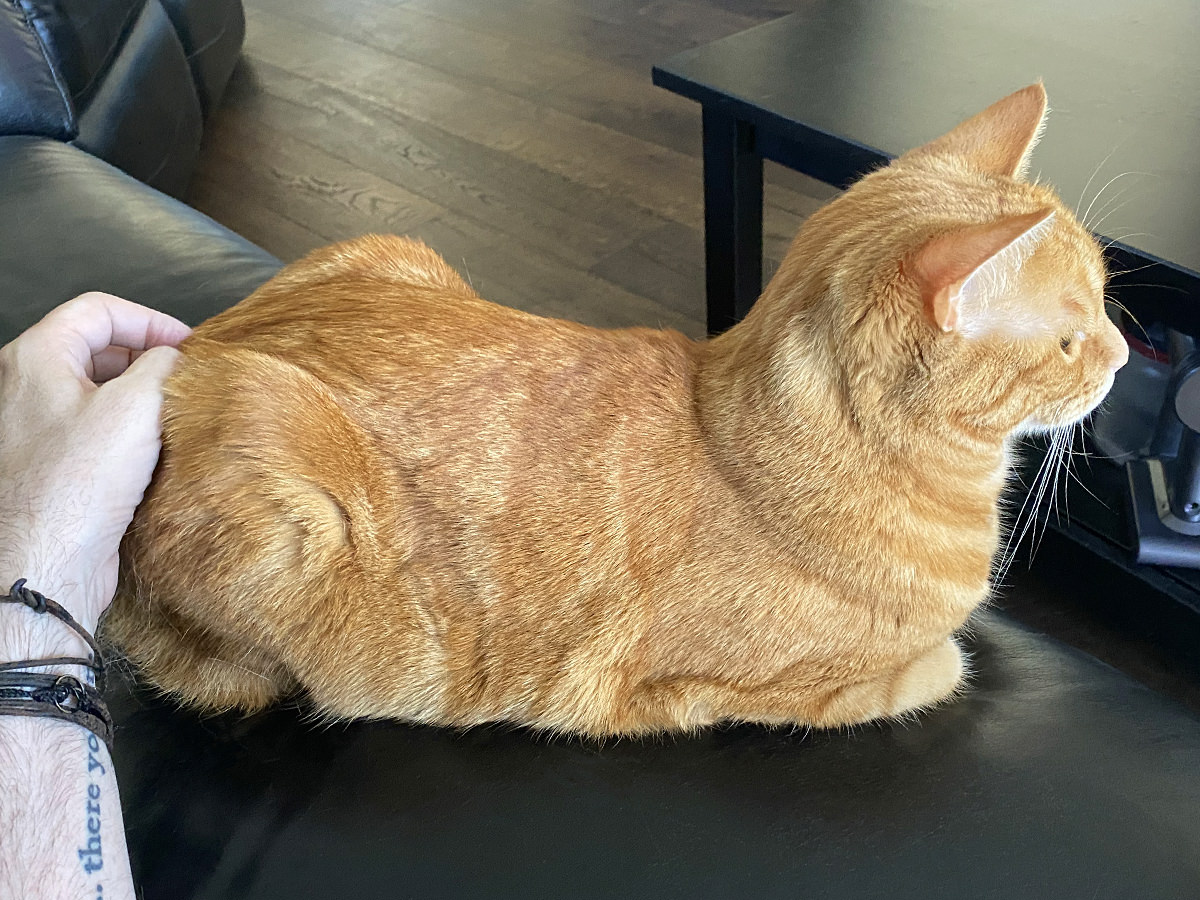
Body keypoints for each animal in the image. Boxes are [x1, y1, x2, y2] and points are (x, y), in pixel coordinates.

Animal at [112, 84, 1123, 734]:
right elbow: (941, 667)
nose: (1121, 358)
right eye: (1072, 340)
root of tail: (202, 353)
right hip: (281, 461)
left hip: (387, 246)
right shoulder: (760, 688)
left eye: (1109, 306)